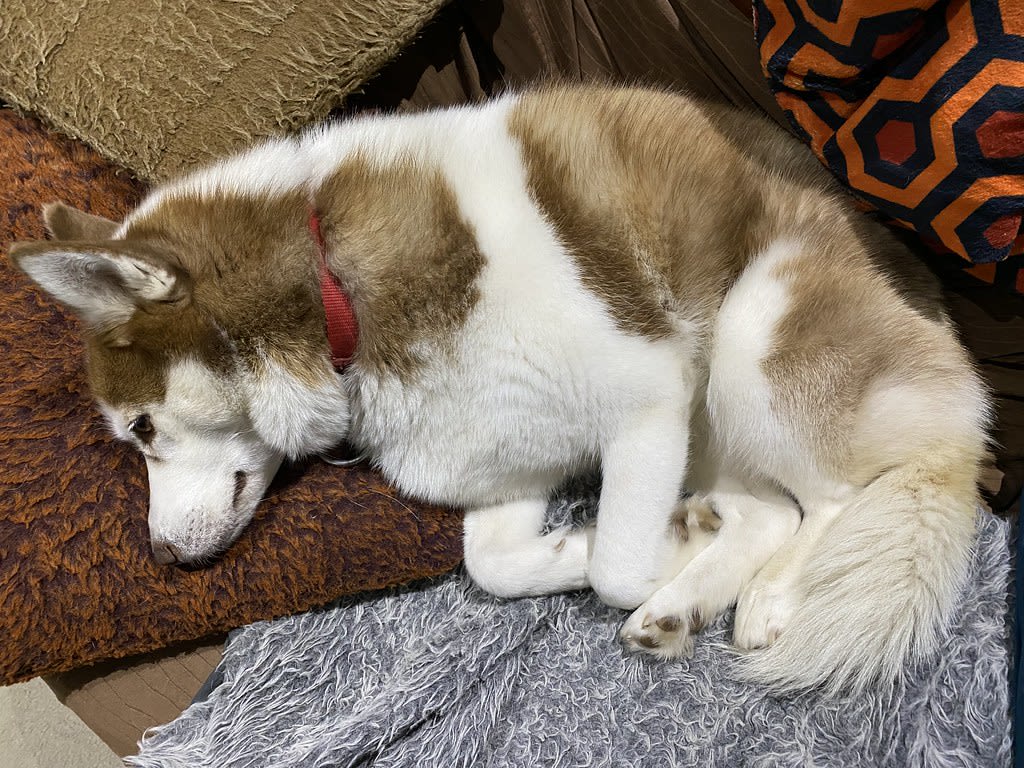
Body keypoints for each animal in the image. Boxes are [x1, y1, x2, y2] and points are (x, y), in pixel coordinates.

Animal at [10, 85, 989, 694]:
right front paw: (627, 550)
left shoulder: (647, 403)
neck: (336, 298)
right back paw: (689, 591)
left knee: (831, 499)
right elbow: (495, 564)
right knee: (771, 511)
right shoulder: (504, 468)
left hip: (749, 335)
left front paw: (654, 552)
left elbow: (617, 567)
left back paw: (769, 596)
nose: (160, 557)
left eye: (142, 429)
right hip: (711, 426)